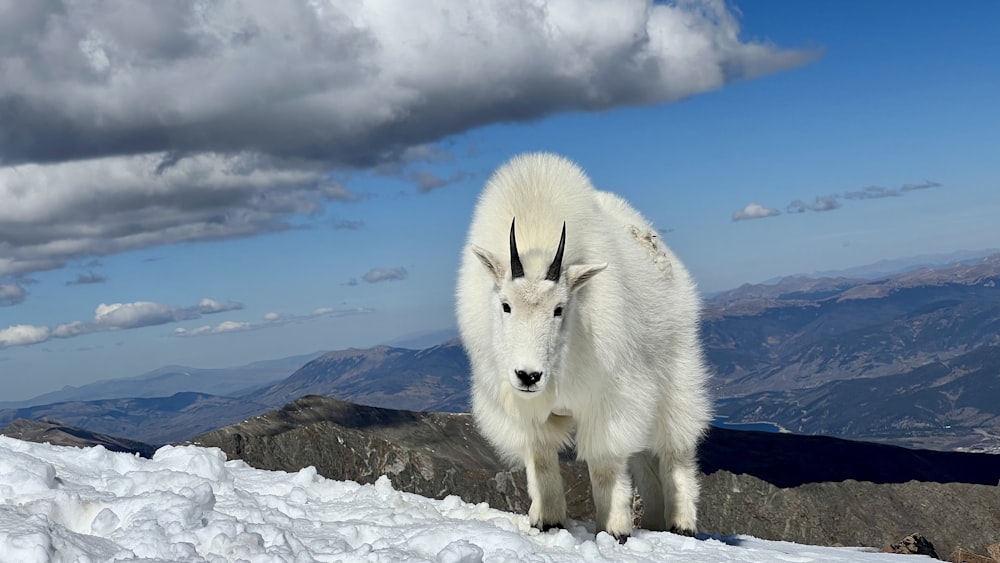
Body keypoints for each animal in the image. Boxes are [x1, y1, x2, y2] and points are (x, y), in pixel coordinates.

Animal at [454, 152, 712, 540]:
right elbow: (541, 457)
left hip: (677, 370)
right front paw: (547, 520)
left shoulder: (611, 398)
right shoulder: (521, 409)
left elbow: (605, 463)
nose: (528, 376)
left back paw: (681, 522)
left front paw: (615, 530)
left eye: (560, 308)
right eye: (505, 305)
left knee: (675, 449)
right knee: (644, 460)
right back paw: (653, 521)